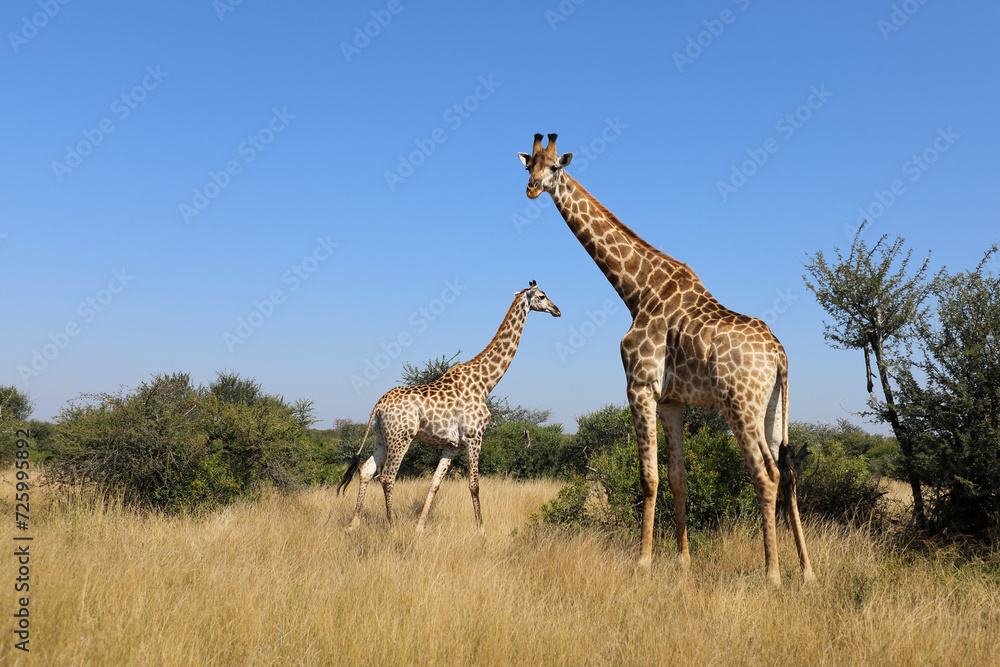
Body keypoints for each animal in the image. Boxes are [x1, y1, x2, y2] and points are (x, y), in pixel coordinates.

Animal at [337, 281, 561, 533]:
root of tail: (378, 405)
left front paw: (420, 527)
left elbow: (435, 483)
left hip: (382, 435)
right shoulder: (474, 437)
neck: (486, 382)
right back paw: (392, 526)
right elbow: (474, 485)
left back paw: (353, 524)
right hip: (401, 437)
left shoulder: (452, 444)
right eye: (542, 296)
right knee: (387, 477)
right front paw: (481, 530)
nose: (557, 310)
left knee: (366, 470)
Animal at [518, 134, 813, 587]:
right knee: (788, 470)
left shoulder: (638, 385)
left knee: (765, 474)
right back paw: (807, 570)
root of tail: (779, 353)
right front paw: (682, 562)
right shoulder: (672, 400)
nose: (532, 189)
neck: (636, 290)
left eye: (554, 167)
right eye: (527, 165)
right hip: (772, 408)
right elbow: (678, 478)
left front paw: (642, 562)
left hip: (740, 404)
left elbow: (648, 476)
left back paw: (772, 574)